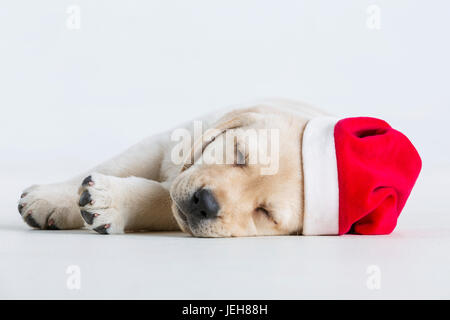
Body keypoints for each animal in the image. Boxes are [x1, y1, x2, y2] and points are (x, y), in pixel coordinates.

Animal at [16, 99, 326, 236]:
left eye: (265, 213)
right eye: (239, 154)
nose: (206, 204)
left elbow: (159, 197)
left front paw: (113, 201)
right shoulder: (165, 144)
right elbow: (116, 164)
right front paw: (52, 198)